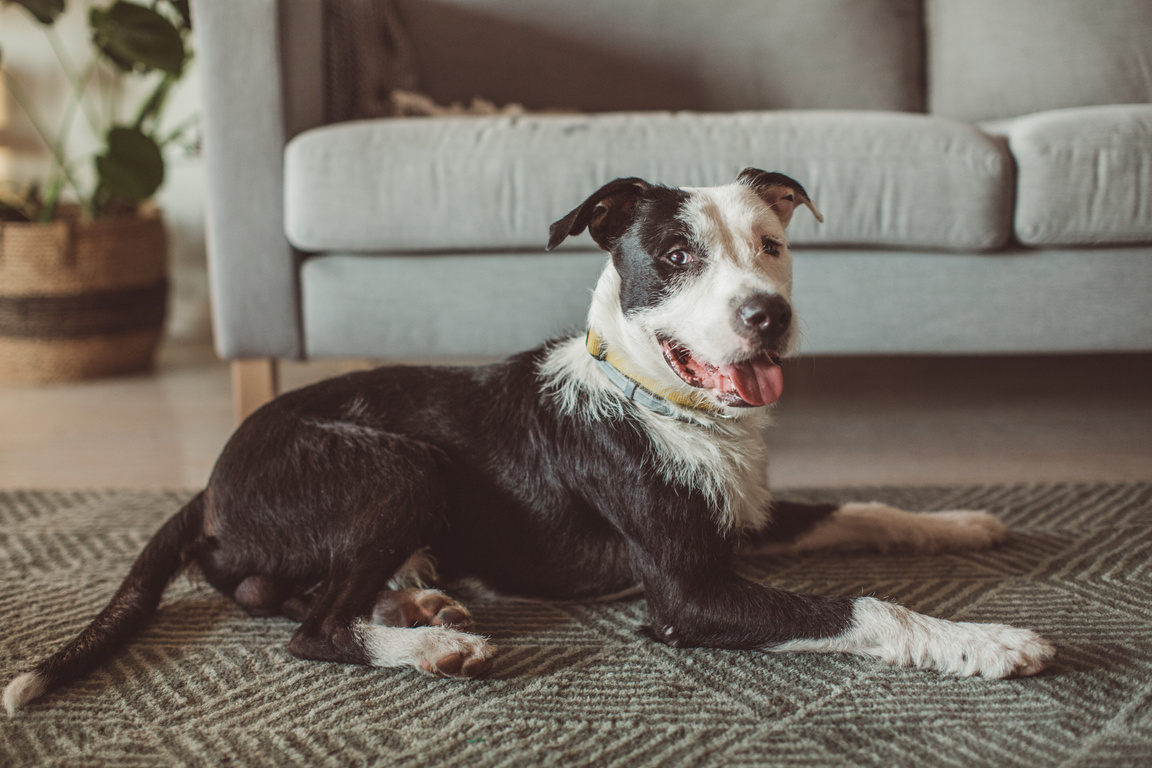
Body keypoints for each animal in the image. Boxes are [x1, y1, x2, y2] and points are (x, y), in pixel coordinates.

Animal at [4, 168, 1055, 713]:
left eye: (772, 245)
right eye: (676, 257)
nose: (768, 317)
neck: (659, 396)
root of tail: (212, 479)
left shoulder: (748, 515)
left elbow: (863, 507)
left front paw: (961, 525)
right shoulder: (690, 594)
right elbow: (867, 607)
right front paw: (988, 642)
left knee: (282, 595)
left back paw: (420, 598)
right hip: (400, 464)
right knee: (310, 628)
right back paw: (427, 643)